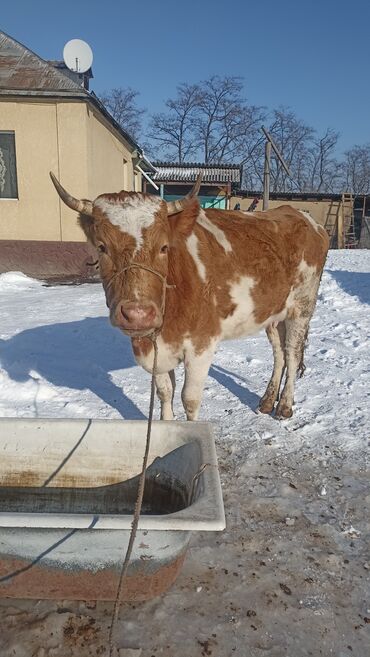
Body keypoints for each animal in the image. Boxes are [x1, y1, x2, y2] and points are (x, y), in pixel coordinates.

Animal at [49, 173, 330, 420]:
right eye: (101, 247)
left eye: (164, 247)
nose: (138, 314)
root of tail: (301, 215)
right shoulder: (157, 348)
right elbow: (165, 392)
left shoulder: (201, 345)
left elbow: (190, 399)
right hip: (273, 313)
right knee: (279, 353)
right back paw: (267, 401)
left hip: (302, 308)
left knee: (292, 354)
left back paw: (284, 406)